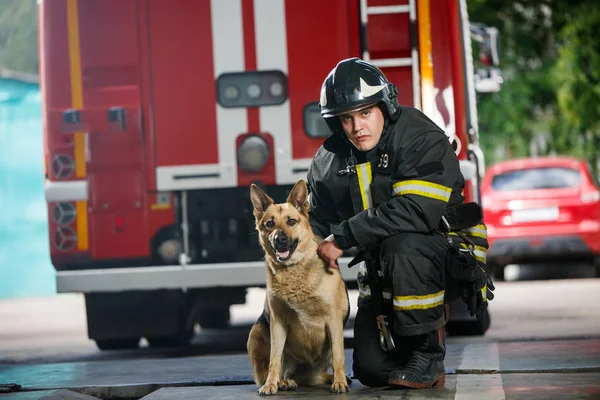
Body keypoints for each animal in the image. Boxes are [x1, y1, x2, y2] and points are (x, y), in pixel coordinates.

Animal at [247, 180, 352, 396]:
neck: (294, 271)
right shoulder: (277, 323)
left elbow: (339, 356)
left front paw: (339, 382)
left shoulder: (334, 321)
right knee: (280, 368)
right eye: (270, 224)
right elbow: (274, 360)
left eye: (291, 222)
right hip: (257, 331)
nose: (279, 239)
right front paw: (270, 385)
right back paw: (283, 382)